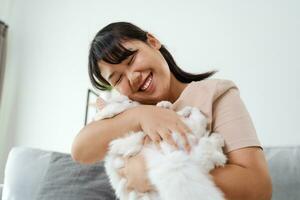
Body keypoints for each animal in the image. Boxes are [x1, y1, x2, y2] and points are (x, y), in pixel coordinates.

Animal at [94, 94, 227, 200]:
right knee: (201, 142)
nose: (133, 101)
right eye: (127, 102)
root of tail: (169, 158)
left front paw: (164, 104)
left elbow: (172, 111)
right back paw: (214, 138)